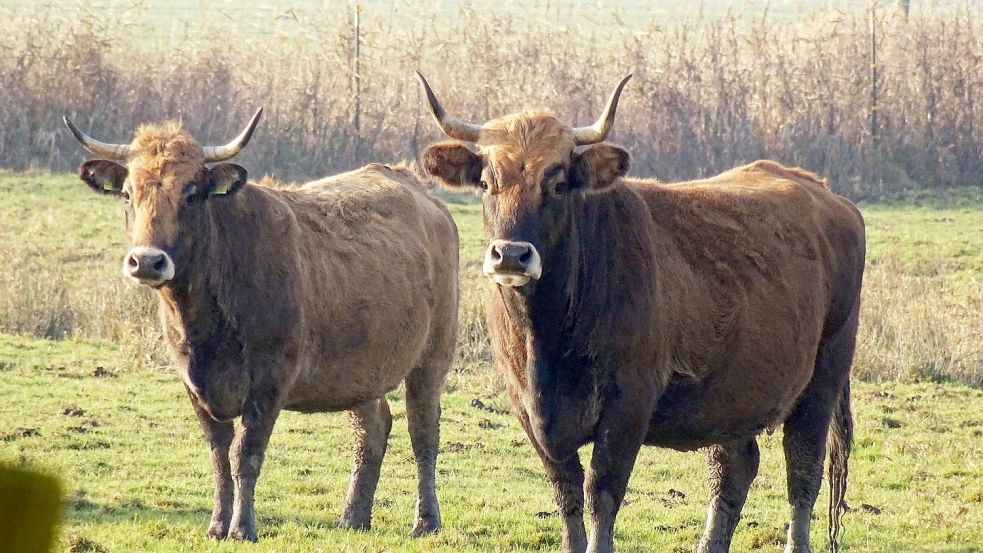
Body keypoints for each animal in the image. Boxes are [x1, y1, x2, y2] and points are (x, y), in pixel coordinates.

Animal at [64, 110, 458, 540]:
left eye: (191, 194)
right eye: (126, 194)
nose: (148, 261)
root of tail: (418, 188)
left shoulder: (269, 382)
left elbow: (245, 454)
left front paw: (242, 528)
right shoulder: (193, 384)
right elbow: (219, 455)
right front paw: (217, 525)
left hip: (432, 357)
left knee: (423, 431)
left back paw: (426, 521)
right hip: (359, 370)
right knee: (372, 428)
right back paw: (354, 517)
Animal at [418, 73, 864, 552]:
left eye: (557, 184)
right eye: (486, 183)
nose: (512, 255)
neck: (547, 336)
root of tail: (824, 191)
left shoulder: (629, 402)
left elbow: (601, 492)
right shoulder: (528, 410)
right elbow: (566, 494)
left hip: (823, 379)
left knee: (803, 468)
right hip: (732, 394)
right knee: (733, 470)